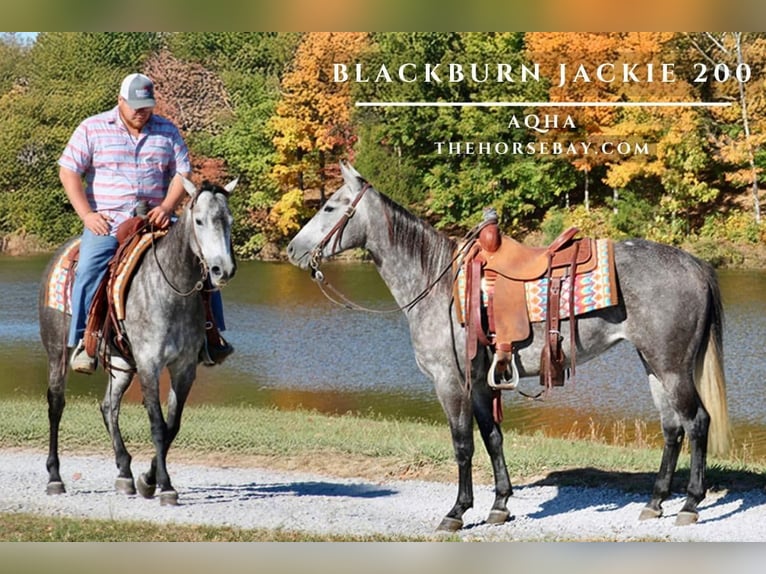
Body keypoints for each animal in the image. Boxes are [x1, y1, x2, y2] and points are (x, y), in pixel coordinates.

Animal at [38, 178, 237, 506]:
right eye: (199, 221)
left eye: (229, 221)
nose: (223, 270)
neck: (172, 289)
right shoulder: (149, 364)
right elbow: (157, 424)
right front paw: (165, 486)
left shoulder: (184, 368)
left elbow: (172, 425)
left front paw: (147, 479)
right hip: (57, 353)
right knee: (56, 404)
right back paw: (55, 477)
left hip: (121, 363)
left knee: (108, 406)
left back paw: (124, 472)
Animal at [288, 161, 732, 532]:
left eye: (330, 206)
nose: (293, 249)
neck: (437, 285)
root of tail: (695, 264)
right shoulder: (483, 385)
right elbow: (493, 438)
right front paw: (500, 505)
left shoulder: (451, 382)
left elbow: (463, 444)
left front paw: (457, 512)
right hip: (654, 364)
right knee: (672, 428)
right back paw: (655, 503)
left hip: (671, 367)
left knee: (697, 422)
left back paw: (690, 505)